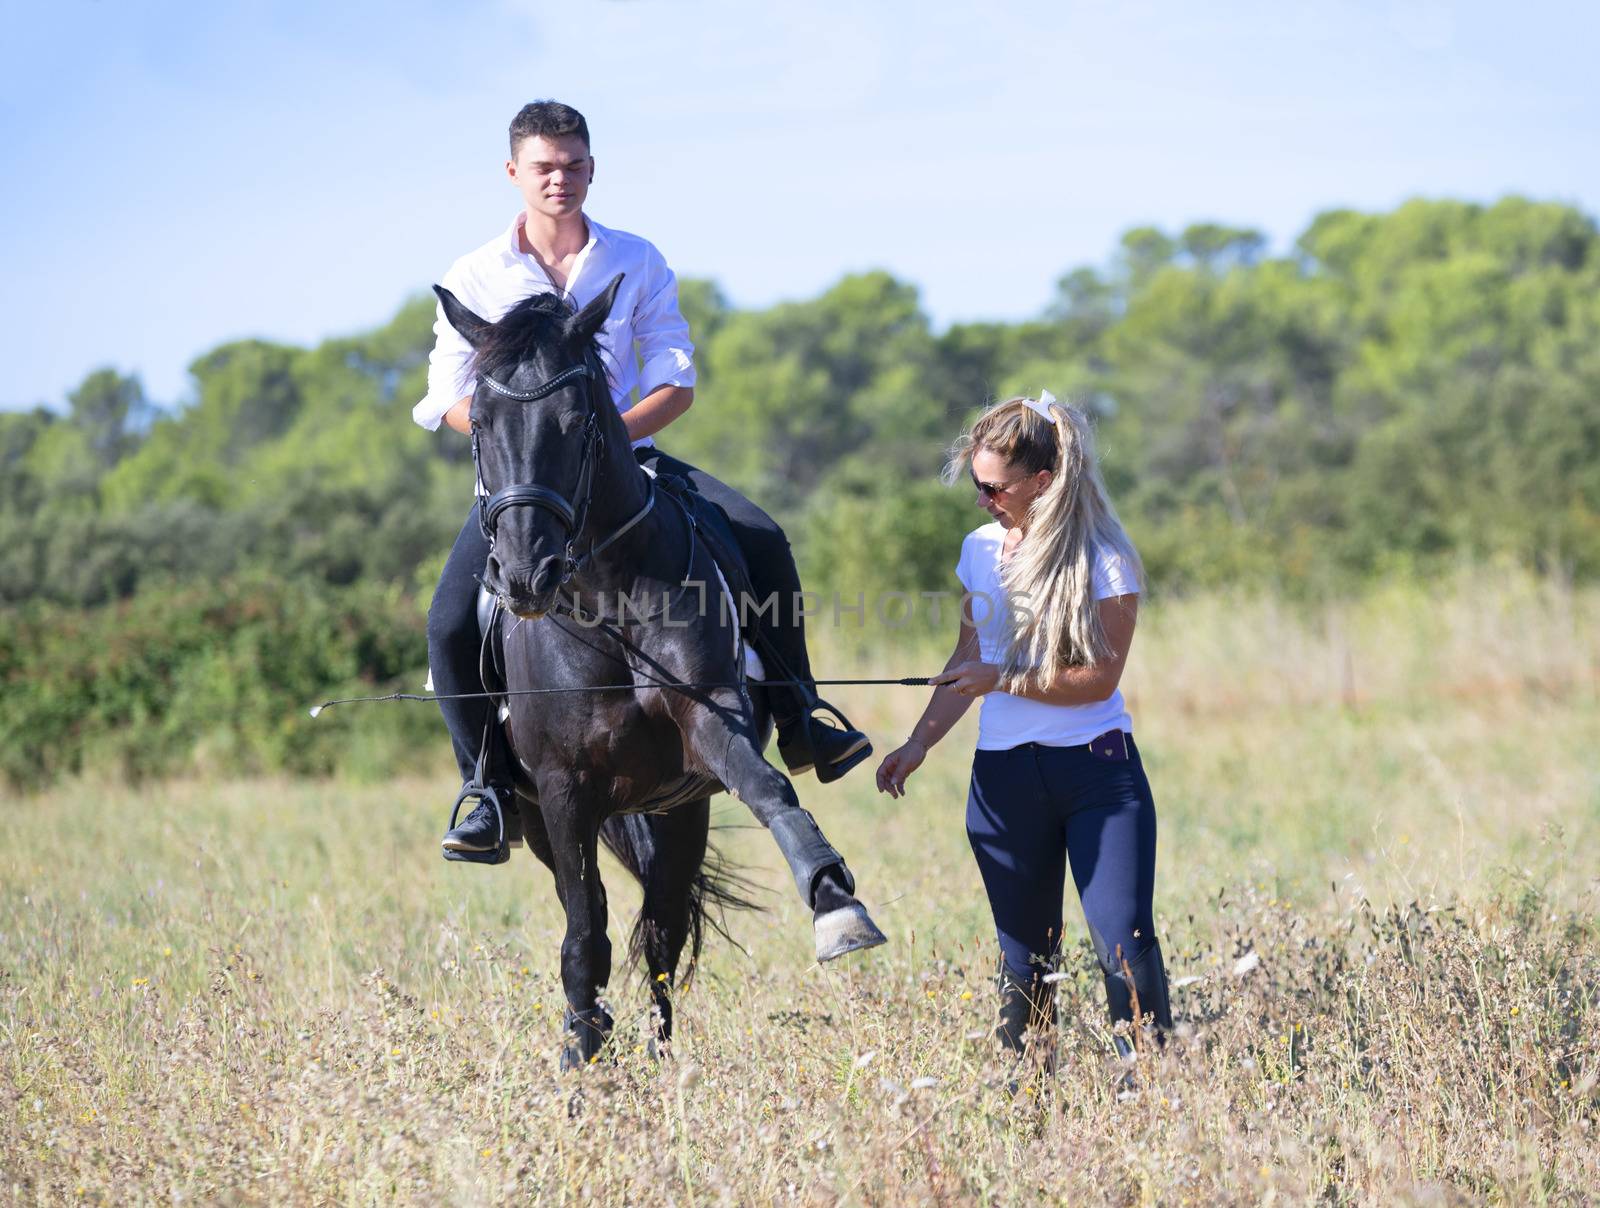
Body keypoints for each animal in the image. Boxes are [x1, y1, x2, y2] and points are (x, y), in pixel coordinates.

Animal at [435, 276, 889, 1068]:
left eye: (575, 420)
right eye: (479, 423)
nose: (523, 576)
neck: (606, 598)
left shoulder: (710, 726)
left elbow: (771, 793)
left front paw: (838, 907)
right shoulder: (563, 790)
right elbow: (584, 931)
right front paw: (580, 1056)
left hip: (680, 808)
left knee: (663, 930)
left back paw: (659, 1055)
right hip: (543, 815)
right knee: (600, 917)